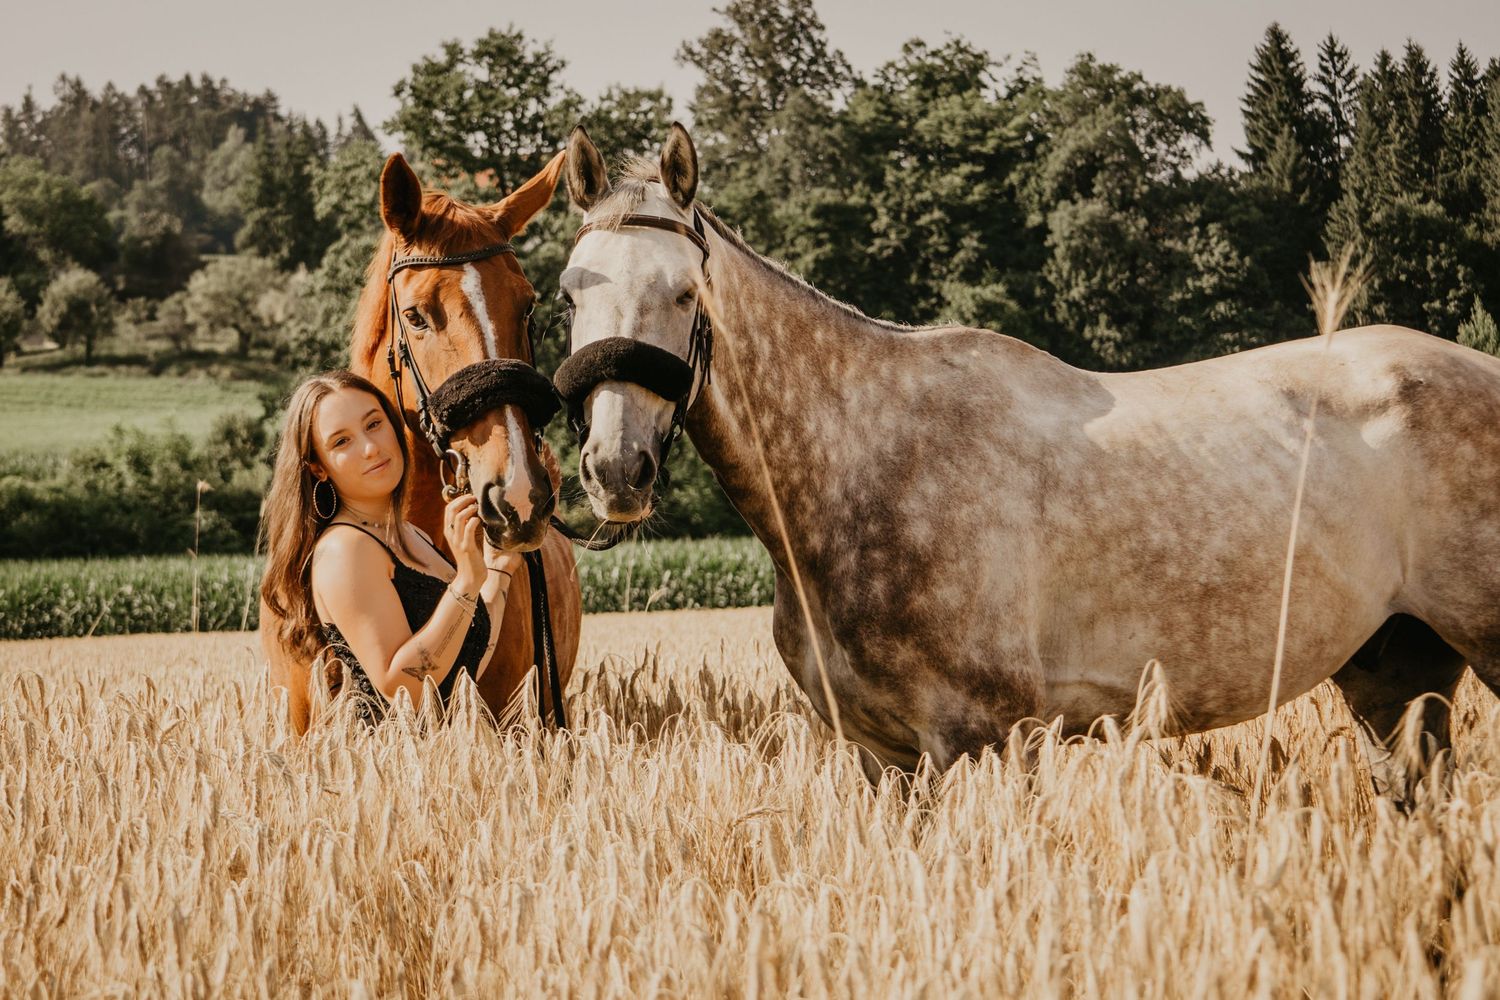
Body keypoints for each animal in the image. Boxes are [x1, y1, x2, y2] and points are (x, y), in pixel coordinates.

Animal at [552, 123, 1500, 798]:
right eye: (568, 293)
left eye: (687, 293)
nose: (616, 470)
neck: (864, 462)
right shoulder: (883, 758)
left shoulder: (982, 742)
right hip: (1394, 676)